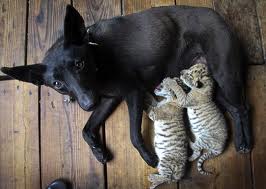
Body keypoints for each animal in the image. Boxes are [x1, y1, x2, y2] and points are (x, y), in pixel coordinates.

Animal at [0, 4, 251, 167]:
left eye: (79, 64)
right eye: (58, 84)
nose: (88, 104)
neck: (98, 56)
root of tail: (217, 16)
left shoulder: (133, 93)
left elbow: (133, 134)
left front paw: (149, 157)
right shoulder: (109, 99)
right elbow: (86, 129)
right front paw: (98, 151)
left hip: (224, 74)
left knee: (243, 108)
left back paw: (246, 144)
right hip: (206, 86)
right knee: (234, 109)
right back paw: (240, 141)